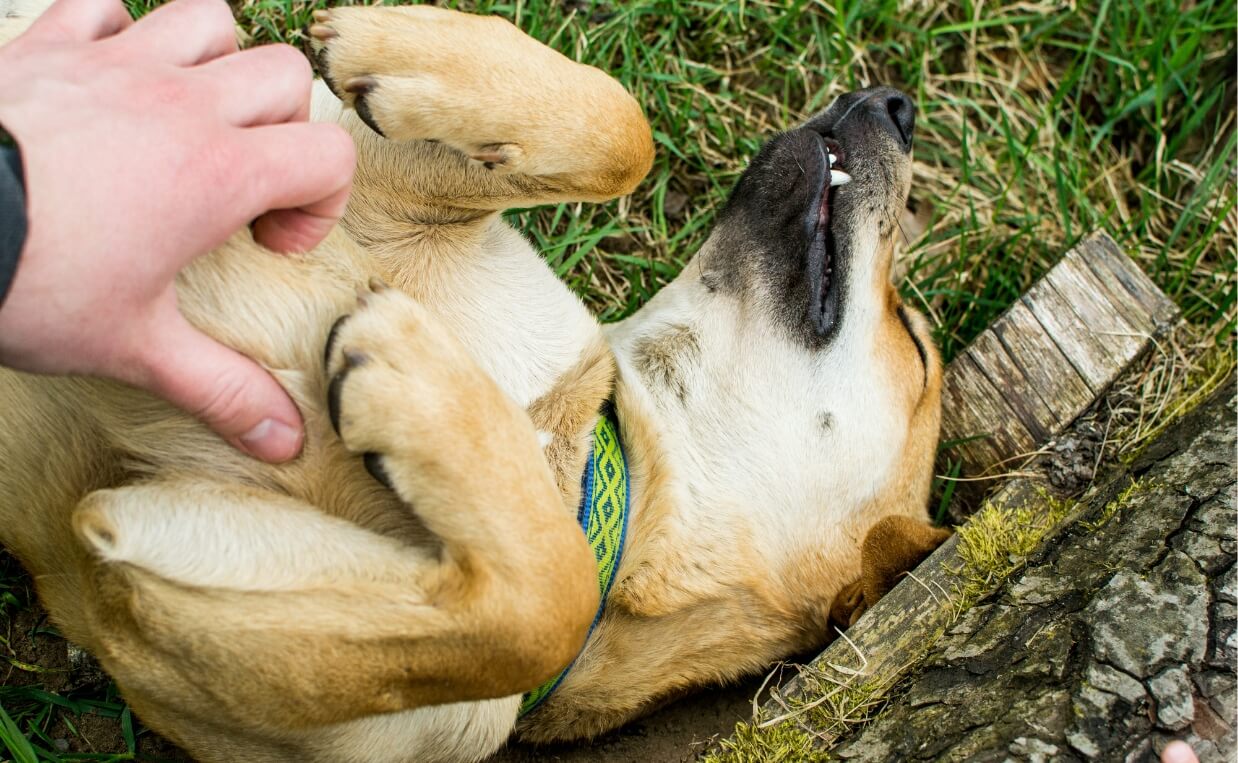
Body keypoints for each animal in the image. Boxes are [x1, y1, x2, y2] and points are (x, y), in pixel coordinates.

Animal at [0, 2, 945, 758]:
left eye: (915, 343)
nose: (897, 104)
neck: (570, 448)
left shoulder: (140, 605)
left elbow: (548, 600)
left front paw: (423, 392)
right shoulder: (346, 178)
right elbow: (622, 130)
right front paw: (397, 42)